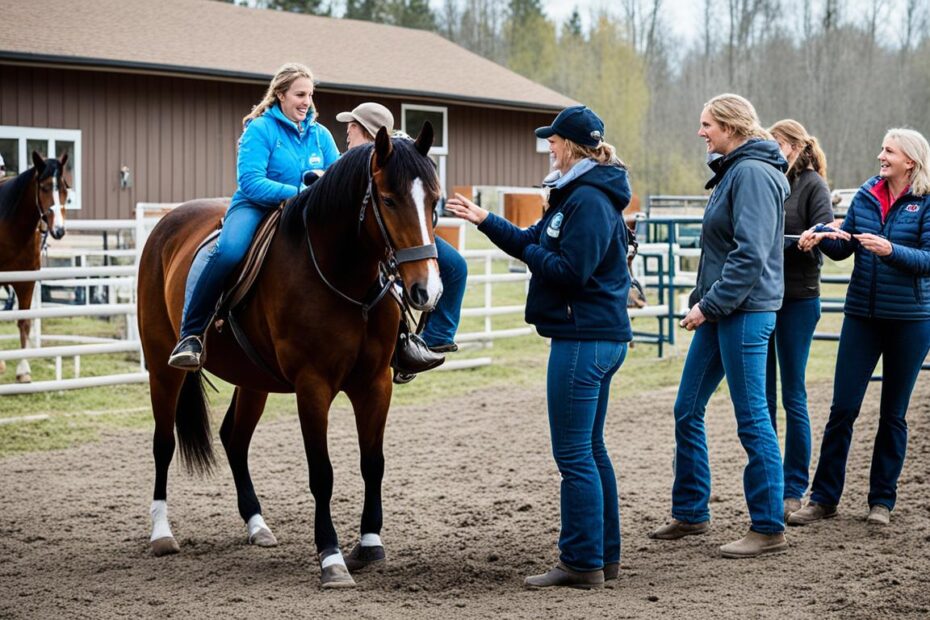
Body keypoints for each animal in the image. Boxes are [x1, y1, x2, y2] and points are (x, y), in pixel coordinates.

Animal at [0, 151, 68, 382]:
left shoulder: (26, 282)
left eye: (65, 188)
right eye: (45, 187)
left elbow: (24, 323)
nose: (59, 230)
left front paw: (23, 370)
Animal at [136, 123, 444, 588]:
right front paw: (331, 558)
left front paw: (370, 544)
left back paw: (256, 524)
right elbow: (322, 473)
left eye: (434, 200)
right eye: (389, 200)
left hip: (251, 380)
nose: (427, 289)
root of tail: (167, 223)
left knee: (234, 439)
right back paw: (161, 533)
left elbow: (373, 463)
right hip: (161, 367)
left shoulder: (375, 384)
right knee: (163, 444)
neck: (342, 275)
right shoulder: (312, 386)